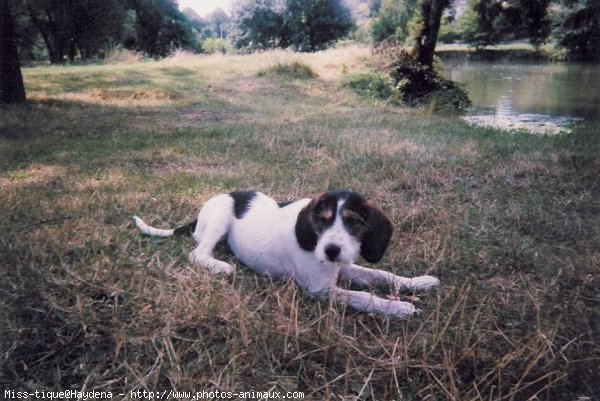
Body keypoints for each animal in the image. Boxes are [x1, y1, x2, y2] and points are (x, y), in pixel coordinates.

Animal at [134, 189, 438, 318]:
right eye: (321, 220)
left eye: (353, 222)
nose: (331, 249)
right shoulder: (319, 290)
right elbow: (363, 296)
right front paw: (399, 307)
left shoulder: (343, 266)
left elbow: (381, 274)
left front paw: (419, 282)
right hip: (221, 216)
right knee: (197, 253)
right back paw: (220, 266)